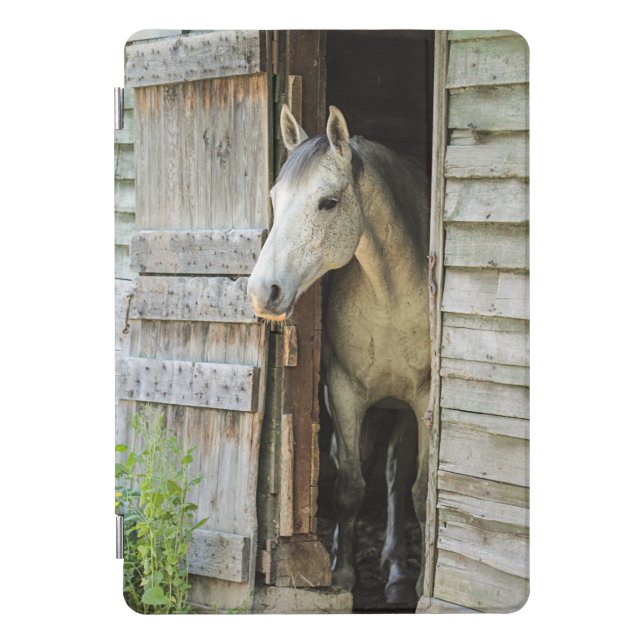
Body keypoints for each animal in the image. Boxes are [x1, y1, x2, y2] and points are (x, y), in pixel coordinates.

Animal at [247, 104, 431, 605]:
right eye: (275, 197)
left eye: (328, 203)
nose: (263, 291)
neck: (391, 297)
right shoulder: (344, 391)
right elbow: (349, 486)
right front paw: (342, 574)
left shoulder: (424, 399)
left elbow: (421, 491)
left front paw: (417, 585)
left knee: (395, 476)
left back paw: (396, 572)